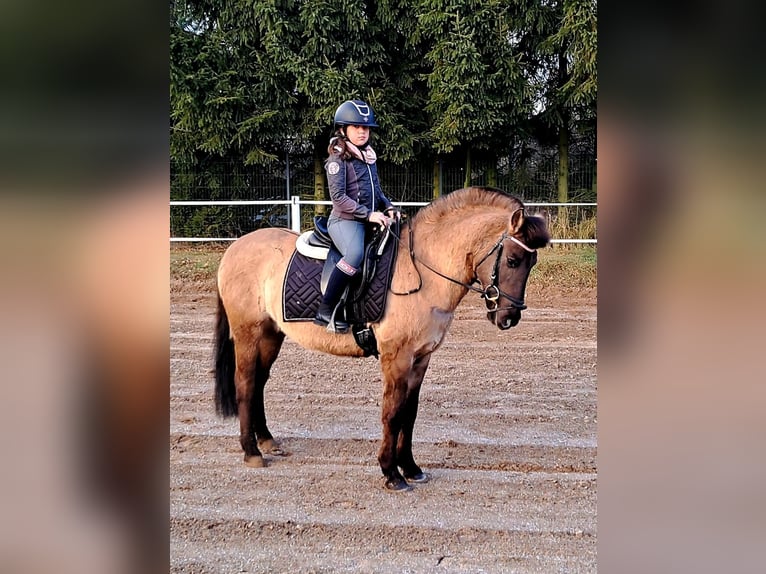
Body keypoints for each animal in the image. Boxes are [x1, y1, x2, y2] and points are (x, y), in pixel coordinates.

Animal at [213, 186, 551, 491]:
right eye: (512, 260)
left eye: (532, 263)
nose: (509, 318)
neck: (423, 272)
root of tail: (235, 248)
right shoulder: (396, 357)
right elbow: (392, 412)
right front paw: (391, 473)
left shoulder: (421, 358)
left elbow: (409, 413)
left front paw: (411, 468)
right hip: (248, 333)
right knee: (245, 383)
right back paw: (251, 452)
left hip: (271, 334)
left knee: (259, 382)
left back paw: (267, 441)